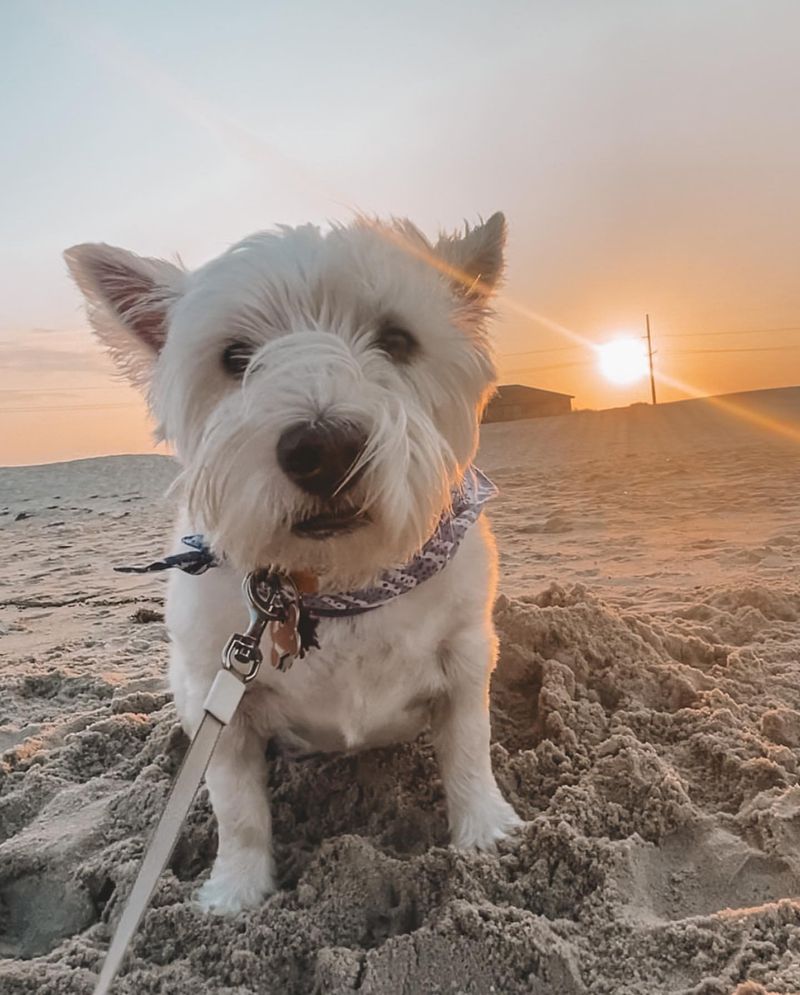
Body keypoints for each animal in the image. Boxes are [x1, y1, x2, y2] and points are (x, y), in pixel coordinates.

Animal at [65, 214, 520, 916]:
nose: (324, 449)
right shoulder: (218, 695)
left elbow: (469, 747)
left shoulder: (467, 655)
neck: (335, 583)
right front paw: (236, 892)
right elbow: (237, 806)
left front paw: (486, 831)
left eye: (397, 340)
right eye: (234, 357)